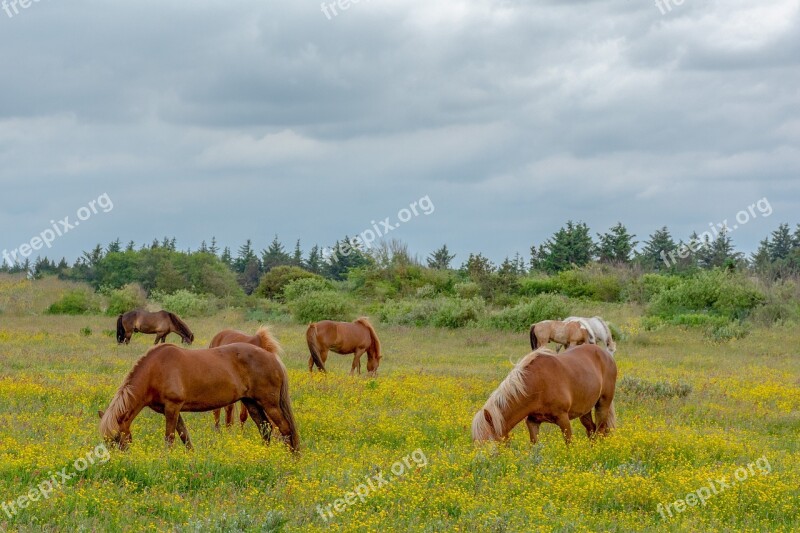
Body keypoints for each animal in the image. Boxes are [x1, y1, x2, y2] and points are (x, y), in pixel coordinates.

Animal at [98, 340, 298, 448]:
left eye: (117, 437)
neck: (156, 370)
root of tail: (273, 358)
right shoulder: (171, 410)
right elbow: (185, 437)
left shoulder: (172, 407)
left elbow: (170, 438)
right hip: (251, 403)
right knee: (266, 429)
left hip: (269, 404)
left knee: (285, 429)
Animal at [468, 342, 620, 442]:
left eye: (490, 441)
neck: (538, 384)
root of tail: (606, 355)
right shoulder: (533, 421)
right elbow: (535, 445)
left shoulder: (563, 418)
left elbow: (569, 443)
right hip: (585, 410)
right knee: (592, 430)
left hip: (602, 404)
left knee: (600, 430)